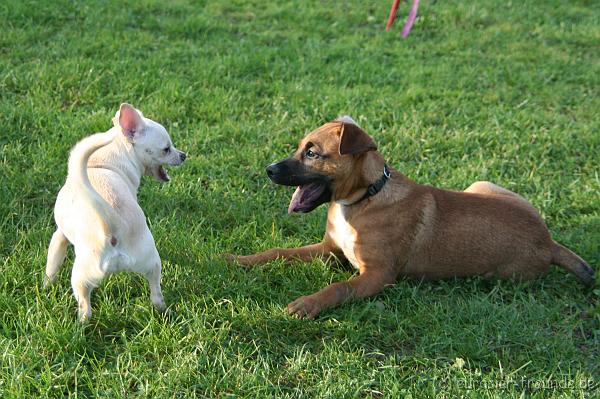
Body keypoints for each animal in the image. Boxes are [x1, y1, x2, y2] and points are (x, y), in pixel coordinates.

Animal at [44, 103, 186, 322]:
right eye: (166, 149)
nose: (183, 155)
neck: (101, 163)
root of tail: (111, 223)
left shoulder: (59, 236)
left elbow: (52, 264)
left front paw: (46, 286)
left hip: (80, 276)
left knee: (85, 307)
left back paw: (80, 325)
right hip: (152, 262)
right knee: (156, 295)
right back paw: (164, 311)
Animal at [226, 116, 596, 318]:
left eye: (313, 153)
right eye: (300, 147)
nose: (269, 170)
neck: (363, 199)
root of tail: (549, 242)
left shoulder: (377, 275)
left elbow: (338, 287)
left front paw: (308, 304)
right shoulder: (329, 249)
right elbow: (278, 252)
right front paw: (239, 259)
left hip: (500, 275)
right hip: (482, 185)